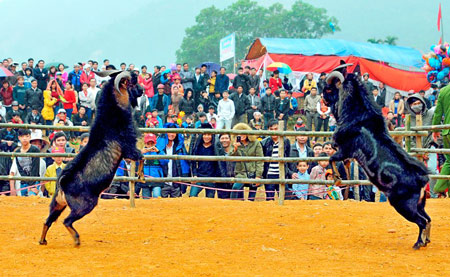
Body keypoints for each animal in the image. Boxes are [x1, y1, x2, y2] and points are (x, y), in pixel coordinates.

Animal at [39, 69, 144, 246]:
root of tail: (62, 182)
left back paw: (42, 241)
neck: (111, 118)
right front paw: (141, 177)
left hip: (57, 204)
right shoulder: (129, 148)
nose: (143, 90)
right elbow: (142, 157)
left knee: (48, 220)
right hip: (85, 205)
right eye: (133, 82)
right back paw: (76, 239)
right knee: (66, 221)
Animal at [322, 71, 430, 248]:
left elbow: (332, 158)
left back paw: (418, 243)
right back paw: (426, 240)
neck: (358, 117)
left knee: (422, 222)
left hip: (404, 205)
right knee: (428, 219)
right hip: (420, 204)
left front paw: (337, 178)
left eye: (330, 89)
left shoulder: (345, 149)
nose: (323, 97)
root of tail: (421, 179)